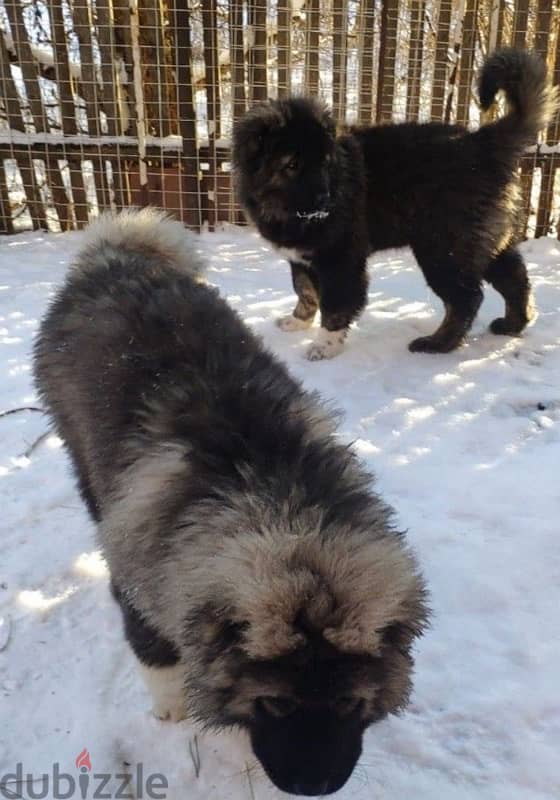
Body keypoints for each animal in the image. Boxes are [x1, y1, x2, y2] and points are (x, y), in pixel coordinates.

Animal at [34, 209, 428, 796]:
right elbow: (157, 657)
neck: (275, 494)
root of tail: (115, 254)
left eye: (348, 703)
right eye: (275, 704)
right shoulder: (140, 584)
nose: (316, 787)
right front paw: (173, 709)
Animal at [231, 49, 556, 360]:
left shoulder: (341, 260)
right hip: (485, 242)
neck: (285, 208)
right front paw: (298, 321)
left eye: (324, 162)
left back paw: (438, 344)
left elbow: (335, 305)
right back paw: (512, 324)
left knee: (466, 298)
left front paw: (324, 346)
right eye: (292, 165)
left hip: (443, 247)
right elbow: (304, 289)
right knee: (515, 280)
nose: (326, 199)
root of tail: (482, 143)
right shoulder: (301, 257)